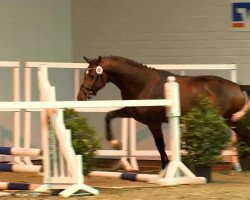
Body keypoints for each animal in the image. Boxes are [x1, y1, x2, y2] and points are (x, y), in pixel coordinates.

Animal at [76, 55, 250, 170]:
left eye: (92, 74)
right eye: (85, 73)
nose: (80, 97)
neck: (143, 84)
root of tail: (237, 86)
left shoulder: (154, 122)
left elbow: (160, 145)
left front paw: (165, 168)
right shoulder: (132, 112)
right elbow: (109, 115)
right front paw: (115, 143)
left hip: (229, 120)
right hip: (233, 120)